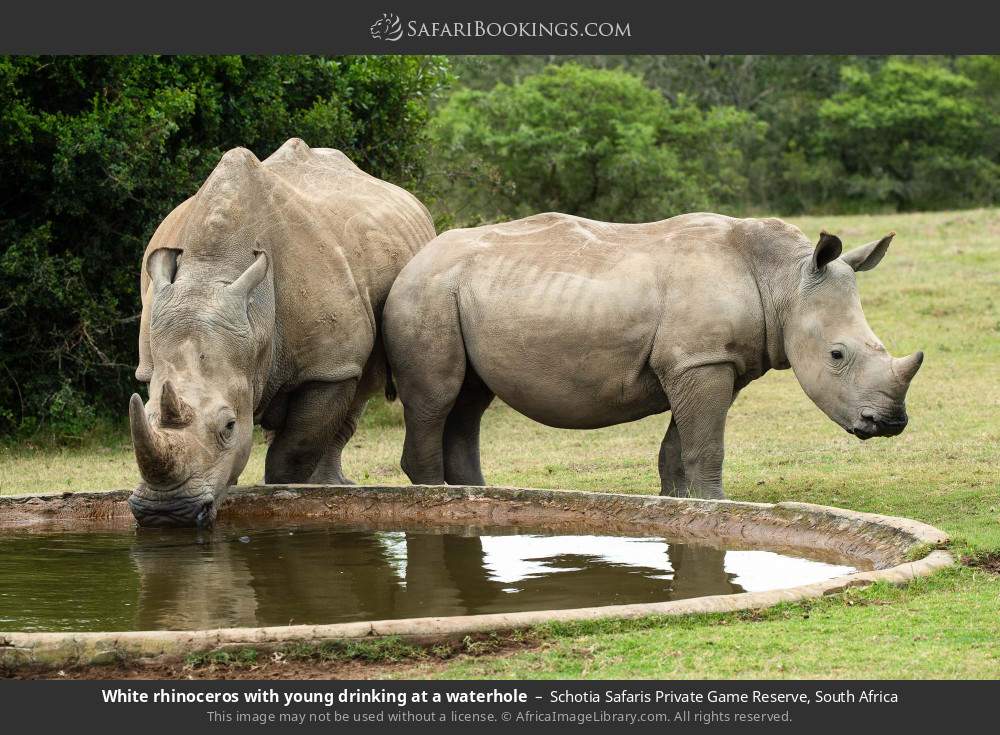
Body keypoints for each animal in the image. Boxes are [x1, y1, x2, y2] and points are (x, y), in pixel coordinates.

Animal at [129, 139, 435, 526]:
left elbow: (292, 453)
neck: (210, 273)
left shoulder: (328, 366)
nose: (165, 515)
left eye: (229, 426)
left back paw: (332, 487)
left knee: (357, 389)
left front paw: (290, 496)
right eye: (147, 416)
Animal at [383, 212, 923, 499]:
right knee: (437, 399)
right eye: (836, 354)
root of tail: (414, 259)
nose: (890, 423)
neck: (782, 281)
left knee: (470, 401)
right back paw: (437, 499)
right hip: (424, 294)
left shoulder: (708, 362)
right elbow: (706, 445)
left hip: (455, 292)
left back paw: (478, 496)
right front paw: (718, 504)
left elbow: (679, 447)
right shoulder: (700, 361)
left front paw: (678, 506)